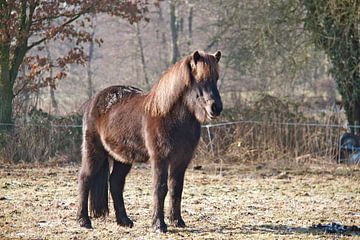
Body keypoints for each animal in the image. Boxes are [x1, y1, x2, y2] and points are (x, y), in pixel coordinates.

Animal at [76, 50, 222, 232]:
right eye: (200, 79)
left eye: (216, 79)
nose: (216, 108)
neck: (169, 116)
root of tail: (93, 101)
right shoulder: (160, 158)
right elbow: (160, 188)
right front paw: (159, 224)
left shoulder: (181, 160)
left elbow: (176, 188)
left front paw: (177, 221)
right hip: (94, 151)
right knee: (85, 179)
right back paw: (84, 221)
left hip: (122, 158)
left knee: (115, 183)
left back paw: (124, 221)